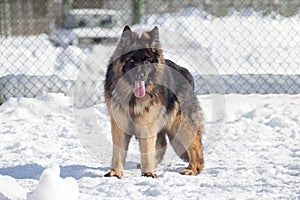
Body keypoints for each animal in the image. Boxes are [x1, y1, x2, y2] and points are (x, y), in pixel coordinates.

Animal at [103, 25, 204, 178]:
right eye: (132, 60)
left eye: (146, 61)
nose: (140, 75)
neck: (133, 97)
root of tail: (184, 71)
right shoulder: (120, 125)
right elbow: (118, 152)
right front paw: (115, 173)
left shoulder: (146, 125)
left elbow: (146, 150)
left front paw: (148, 173)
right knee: (162, 144)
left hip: (180, 125)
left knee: (195, 145)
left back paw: (192, 169)